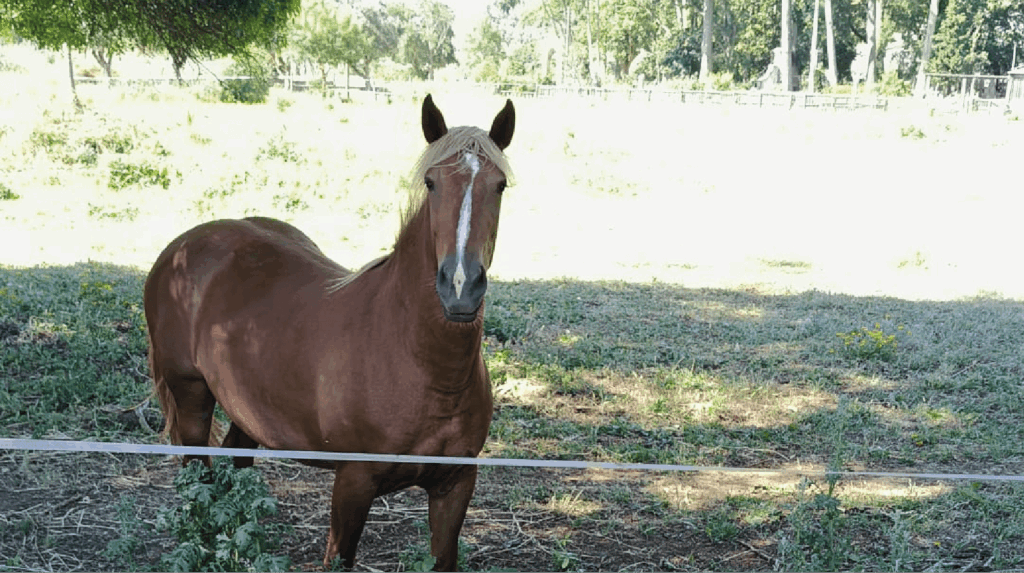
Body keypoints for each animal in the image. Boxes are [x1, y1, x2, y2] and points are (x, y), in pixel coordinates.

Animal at [143, 94, 515, 571]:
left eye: (499, 185)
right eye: (431, 183)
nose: (461, 287)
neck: (418, 361)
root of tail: (179, 249)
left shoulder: (455, 484)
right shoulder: (353, 482)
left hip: (250, 410)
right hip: (191, 398)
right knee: (199, 481)